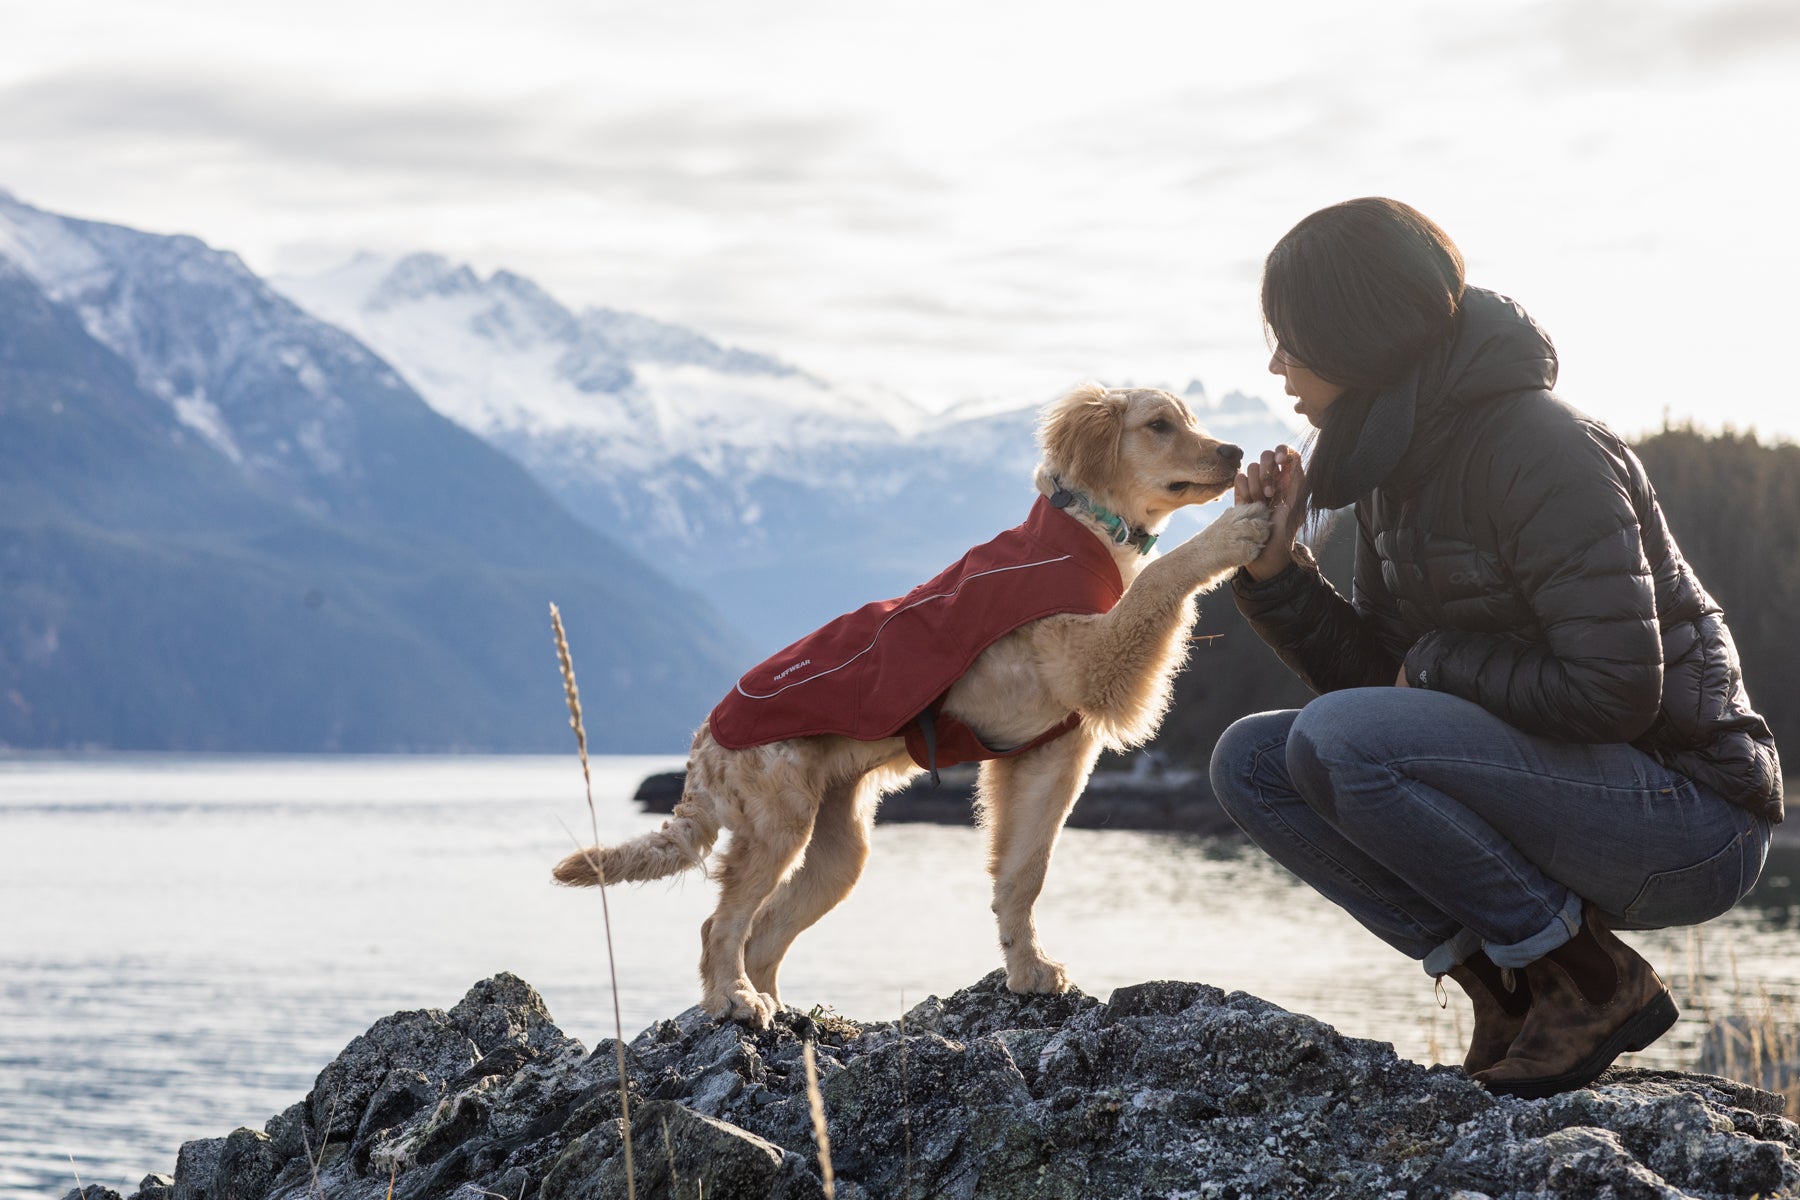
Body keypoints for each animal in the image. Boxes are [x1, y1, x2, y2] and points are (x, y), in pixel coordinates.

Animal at [554, 383, 1274, 1021]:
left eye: (1190, 419)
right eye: (1159, 425)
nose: (1235, 451)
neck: (1084, 530)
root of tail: (704, 740)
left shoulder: (1050, 753)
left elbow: (1023, 872)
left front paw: (1027, 969)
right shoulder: (1092, 659)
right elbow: (1160, 576)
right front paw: (1230, 533)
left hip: (839, 851)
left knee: (762, 933)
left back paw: (783, 1014)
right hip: (775, 823)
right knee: (721, 926)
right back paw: (733, 1000)